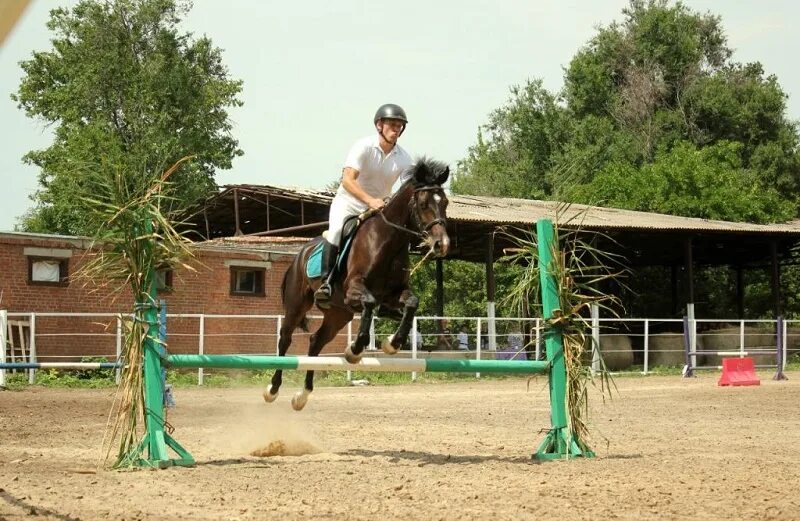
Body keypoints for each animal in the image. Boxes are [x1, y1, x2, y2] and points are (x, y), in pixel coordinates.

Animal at [264, 156, 450, 408]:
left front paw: (392, 343)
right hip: (297, 306)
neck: (388, 242)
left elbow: (412, 303)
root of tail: (300, 253)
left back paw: (302, 395)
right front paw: (355, 349)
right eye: (423, 204)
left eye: (445, 202)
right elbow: (369, 303)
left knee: (316, 341)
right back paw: (272, 389)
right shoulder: (354, 289)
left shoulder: (394, 294)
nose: (442, 244)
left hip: (338, 314)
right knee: (285, 340)